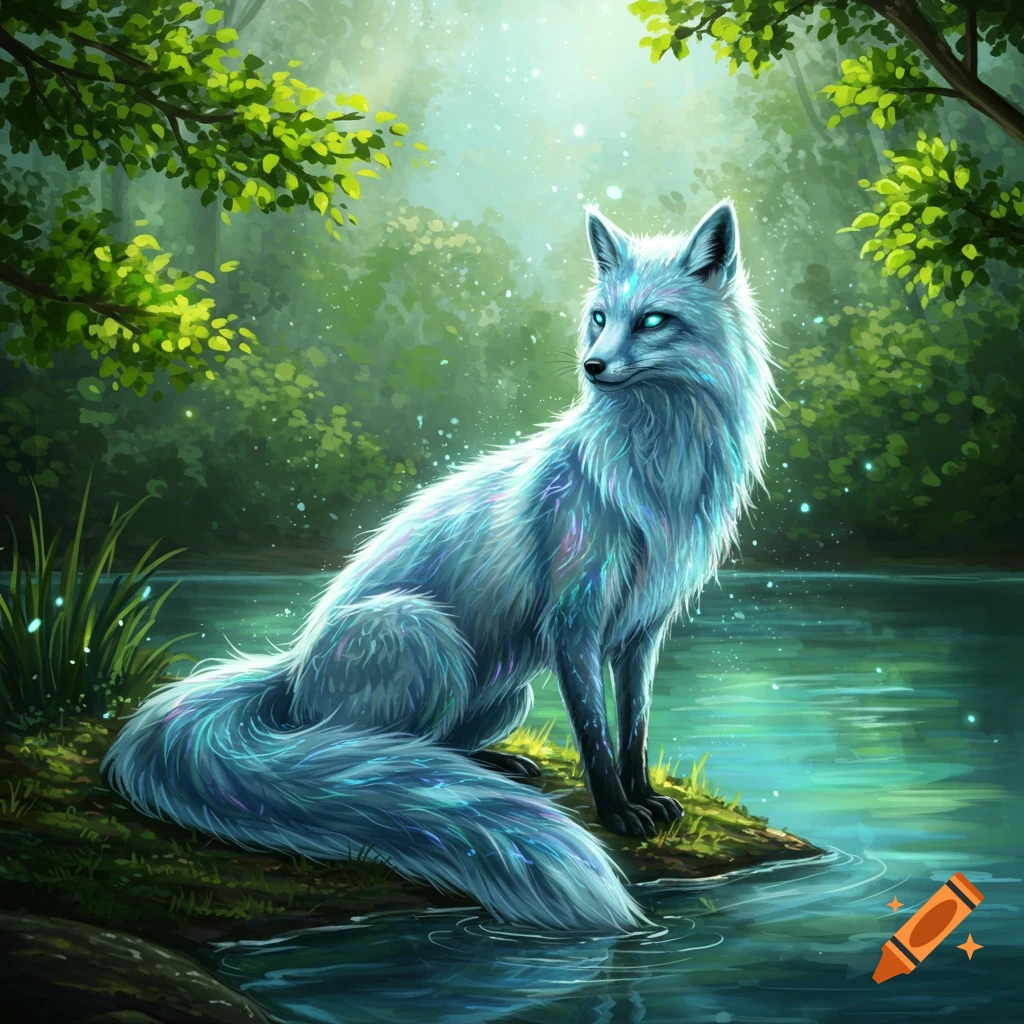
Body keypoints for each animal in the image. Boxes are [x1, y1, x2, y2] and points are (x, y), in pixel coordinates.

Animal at [103, 199, 775, 934]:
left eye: (653, 320)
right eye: (601, 316)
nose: (592, 365)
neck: (660, 480)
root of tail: (292, 667)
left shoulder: (640, 633)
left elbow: (634, 732)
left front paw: (643, 796)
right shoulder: (574, 623)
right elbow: (596, 739)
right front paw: (618, 813)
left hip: (508, 691)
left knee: (438, 748)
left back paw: (496, 764)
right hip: (425, 637)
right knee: (374, 753)